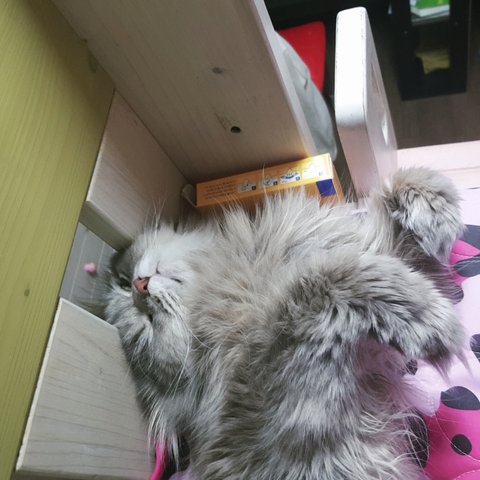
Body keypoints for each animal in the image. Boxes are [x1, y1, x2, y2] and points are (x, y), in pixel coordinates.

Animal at [102, 167, 466, 480]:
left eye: (122, 284)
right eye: (146, 325)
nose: (140, 287)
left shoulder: (385, 250)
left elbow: (409, 181)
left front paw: (434, 220)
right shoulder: (286, 371)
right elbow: (326, 278)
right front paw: (431, 319)